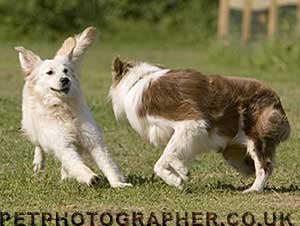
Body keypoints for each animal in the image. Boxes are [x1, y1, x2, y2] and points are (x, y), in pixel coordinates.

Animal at [15, 27, 131, 188]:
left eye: (66, 71)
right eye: (50, 72)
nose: (65, 80)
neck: (66, 108)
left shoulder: (94, 140)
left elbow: (108, 164)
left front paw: (117, 183)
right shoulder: (63, 143)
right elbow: (77, 164)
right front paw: (90, 177)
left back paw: (66, 176)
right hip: (31, 126)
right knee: (39, 144)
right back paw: (39, 163)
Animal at [109, 57, 290, 192]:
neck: (137, 82)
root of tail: (275, 97)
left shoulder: (191, 122)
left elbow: (161, 161)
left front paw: (176, 179)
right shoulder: (185, 135)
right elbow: (171, 153)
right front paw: (180, 172)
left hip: (256, 135)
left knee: (265, 166)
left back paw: (253, 189)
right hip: (233, 153)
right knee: (256, 166)